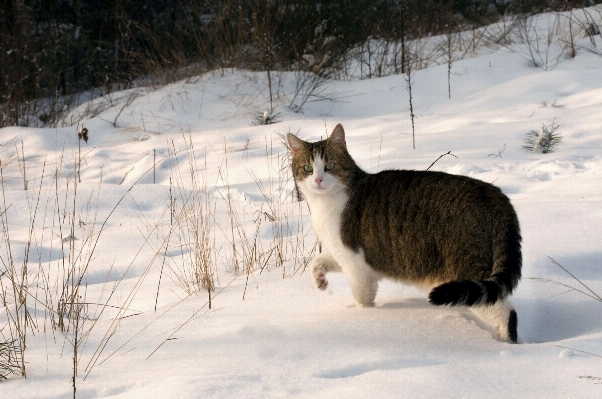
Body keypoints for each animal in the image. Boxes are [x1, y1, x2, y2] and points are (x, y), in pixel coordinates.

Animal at [286, 125, 520, 344]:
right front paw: (319, 280)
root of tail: (493, 193)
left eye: (329, 166)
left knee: (505, 312)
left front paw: (363, 319)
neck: (325, 203)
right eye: (307, 168)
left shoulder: (356, 265)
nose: (318, 180)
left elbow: (364, 299)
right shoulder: (341, 251)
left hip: (466, 266)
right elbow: (318, 261)